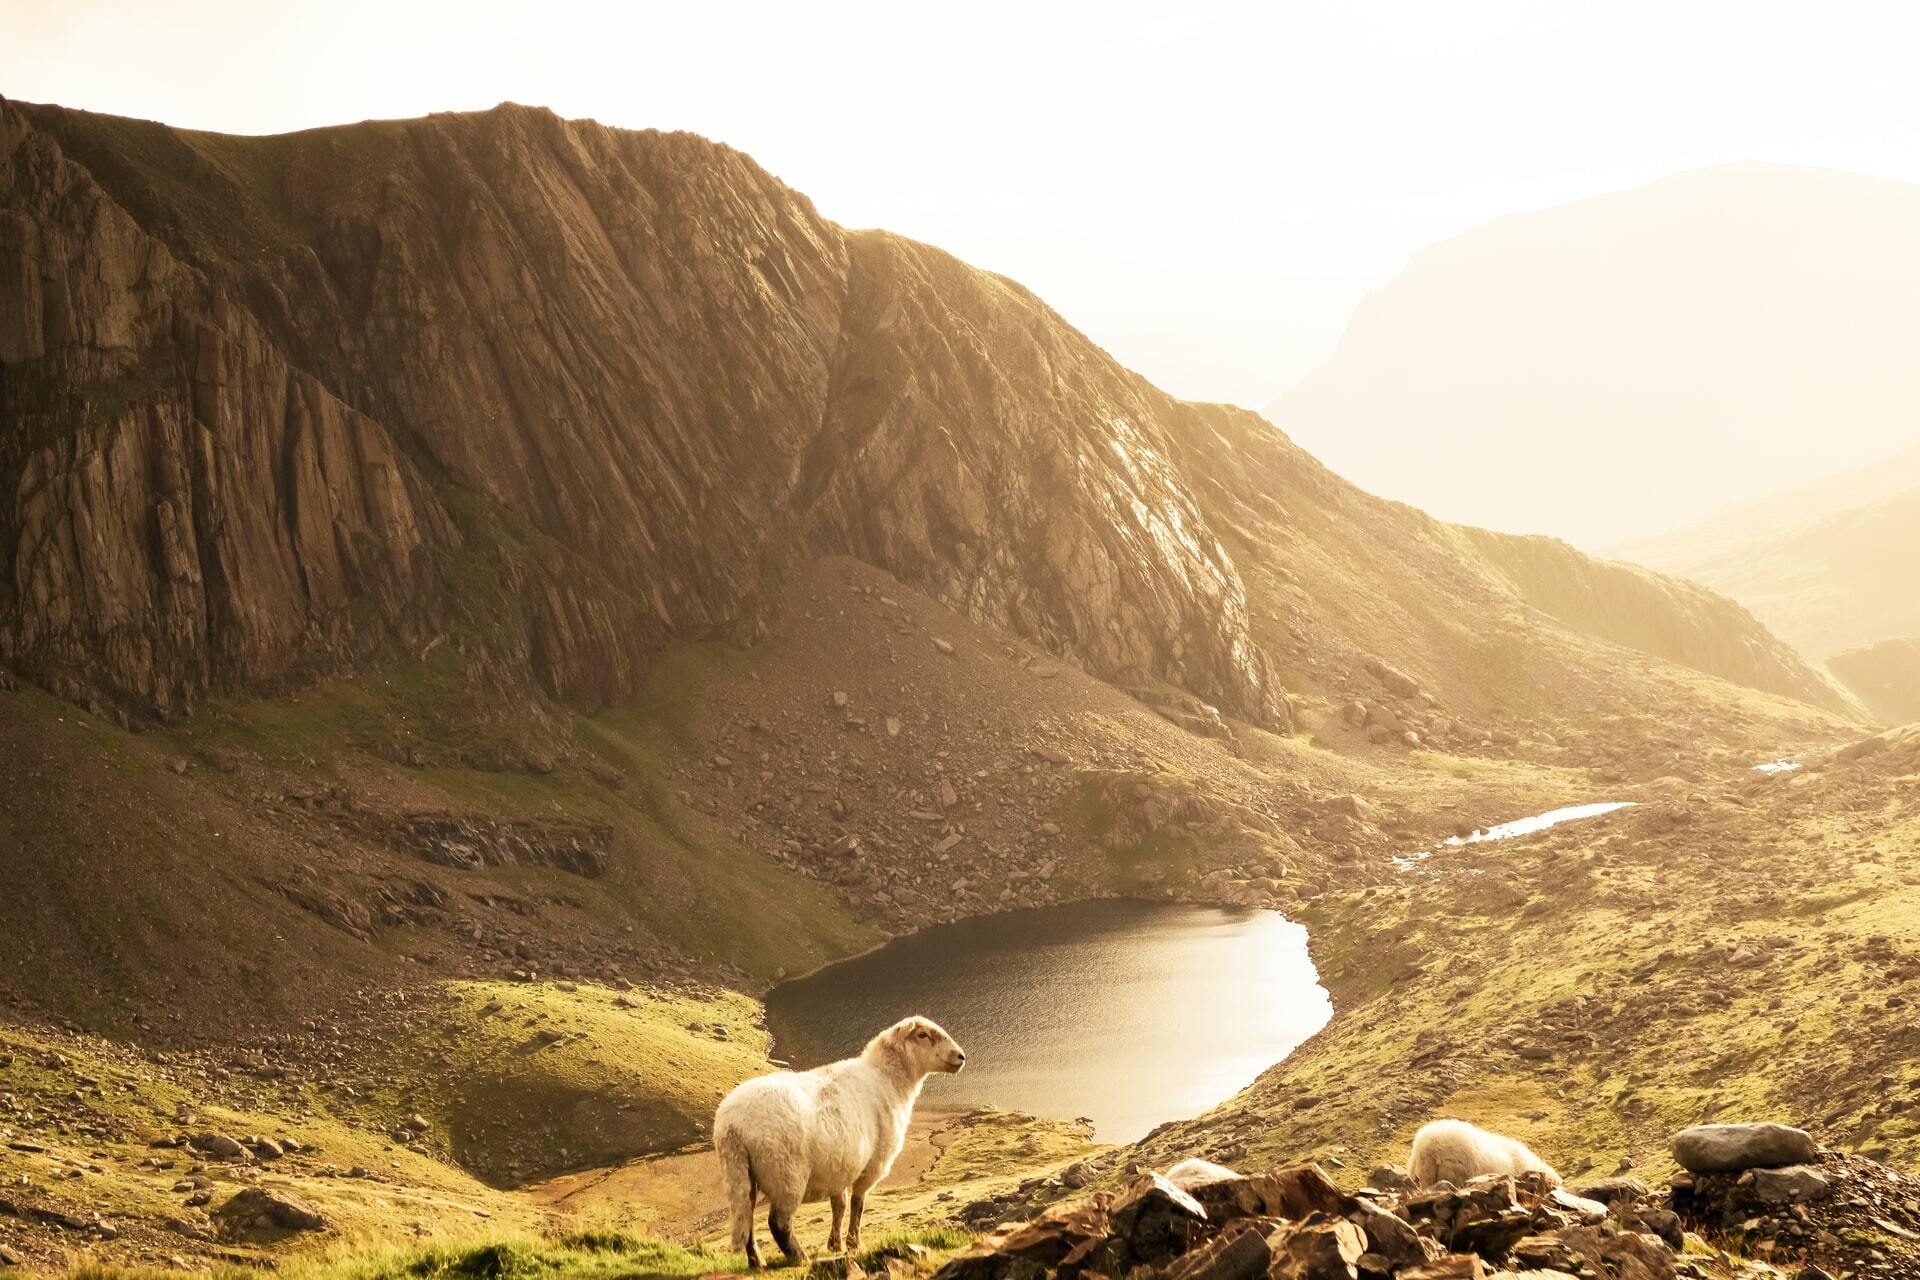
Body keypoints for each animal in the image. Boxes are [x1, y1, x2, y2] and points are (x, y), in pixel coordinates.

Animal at [714, 1013, 967, 1266]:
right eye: (923, 1035)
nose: (961, 1056)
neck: (888, 1079)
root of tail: (732, 1126)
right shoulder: (872, 1164)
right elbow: (858, 1203)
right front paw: (855, 1243)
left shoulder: (841, 1166)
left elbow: (840, 1206)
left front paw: (836, 1244)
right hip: (785, 1174)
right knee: (778, 1223)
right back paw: (800, 1258)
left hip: (741, 1173)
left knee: (746, 1217)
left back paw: (757, 1261)